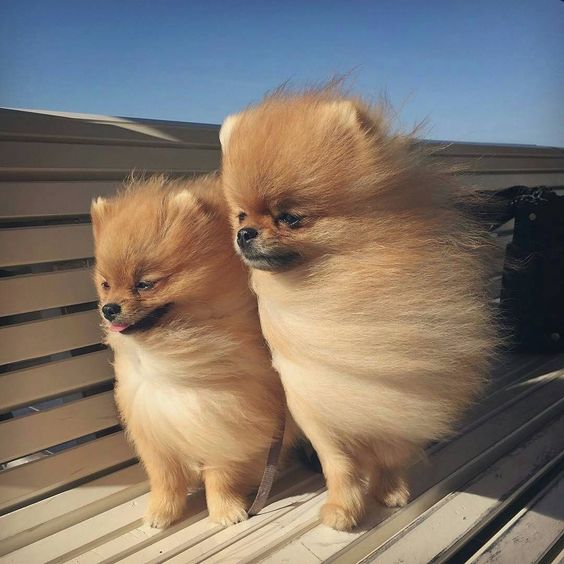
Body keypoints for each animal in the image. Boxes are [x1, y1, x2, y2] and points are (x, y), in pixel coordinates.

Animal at [90, 175, 294, 528]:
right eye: (105, 284)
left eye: (145, 284)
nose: (109, 309)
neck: (174, 351)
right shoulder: (153, 425)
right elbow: (165, 478)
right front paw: (161, 512)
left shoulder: (226, 423)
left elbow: (222, 475)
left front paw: (226, 511)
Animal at [218, 87, 496, 528]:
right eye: (241, 214)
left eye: (289, 218)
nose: (245, 233)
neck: (337, 286)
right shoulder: (313, 404)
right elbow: (339, 465)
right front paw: (343, 508)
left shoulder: (400, 397)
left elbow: (390, 454)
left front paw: (390, 488)